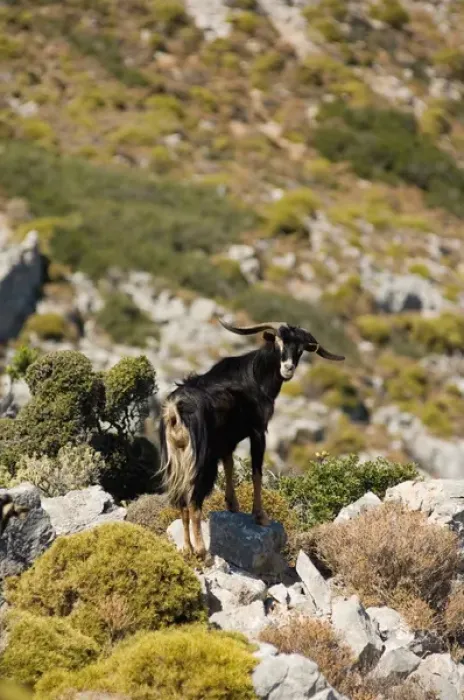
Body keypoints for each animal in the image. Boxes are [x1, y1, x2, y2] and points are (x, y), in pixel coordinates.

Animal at [159, 319, 345, 557]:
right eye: (278, 342)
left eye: (301, 349)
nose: (288, 369)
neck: (256, 376)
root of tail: (176, 411)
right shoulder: (258, 431)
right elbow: (256, 473)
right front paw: (260, 516)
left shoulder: (227, 441)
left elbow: (229, 465)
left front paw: (232, 505)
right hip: (203, 459)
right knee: (194, 501)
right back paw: (200, 549)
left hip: (177, 459)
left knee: (181, 501)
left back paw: (186, 549)